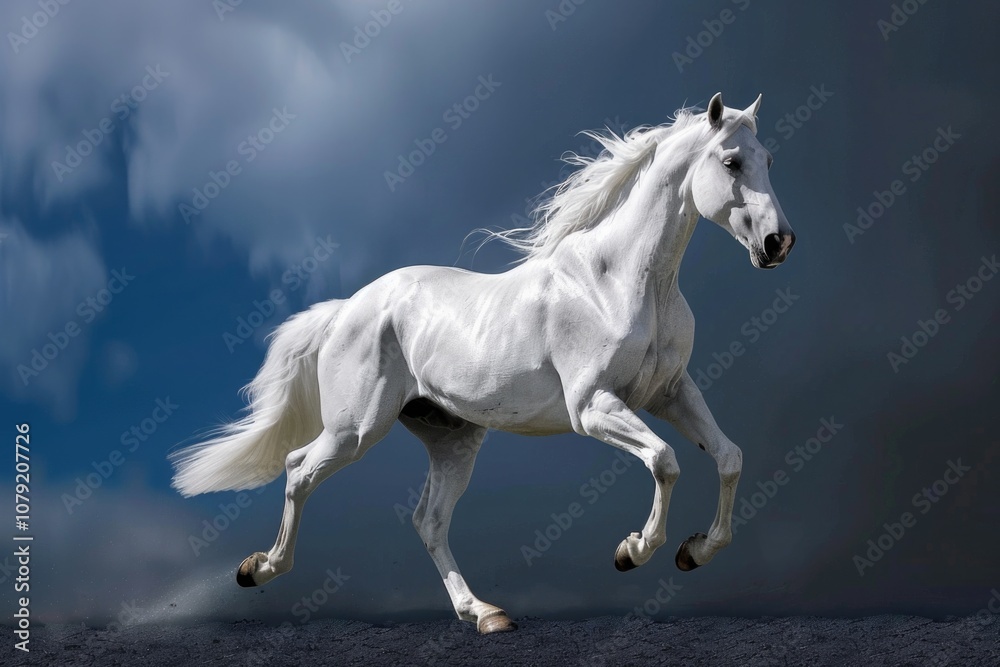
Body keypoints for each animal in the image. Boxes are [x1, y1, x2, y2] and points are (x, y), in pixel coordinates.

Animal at [170, 92, 795, 634]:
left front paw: (695, 552)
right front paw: (632, 552)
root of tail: (347, 308)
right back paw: (257, 569)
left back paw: (484, 613)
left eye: (768, 160)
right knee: (299, 469)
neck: (621, 280)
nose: (778, 243)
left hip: (453, 439)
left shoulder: (670, 393)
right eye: (732, 161)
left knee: (428, 520)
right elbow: (665, 461)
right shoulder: (593, 407)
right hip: (356, 429)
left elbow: (729, 458)